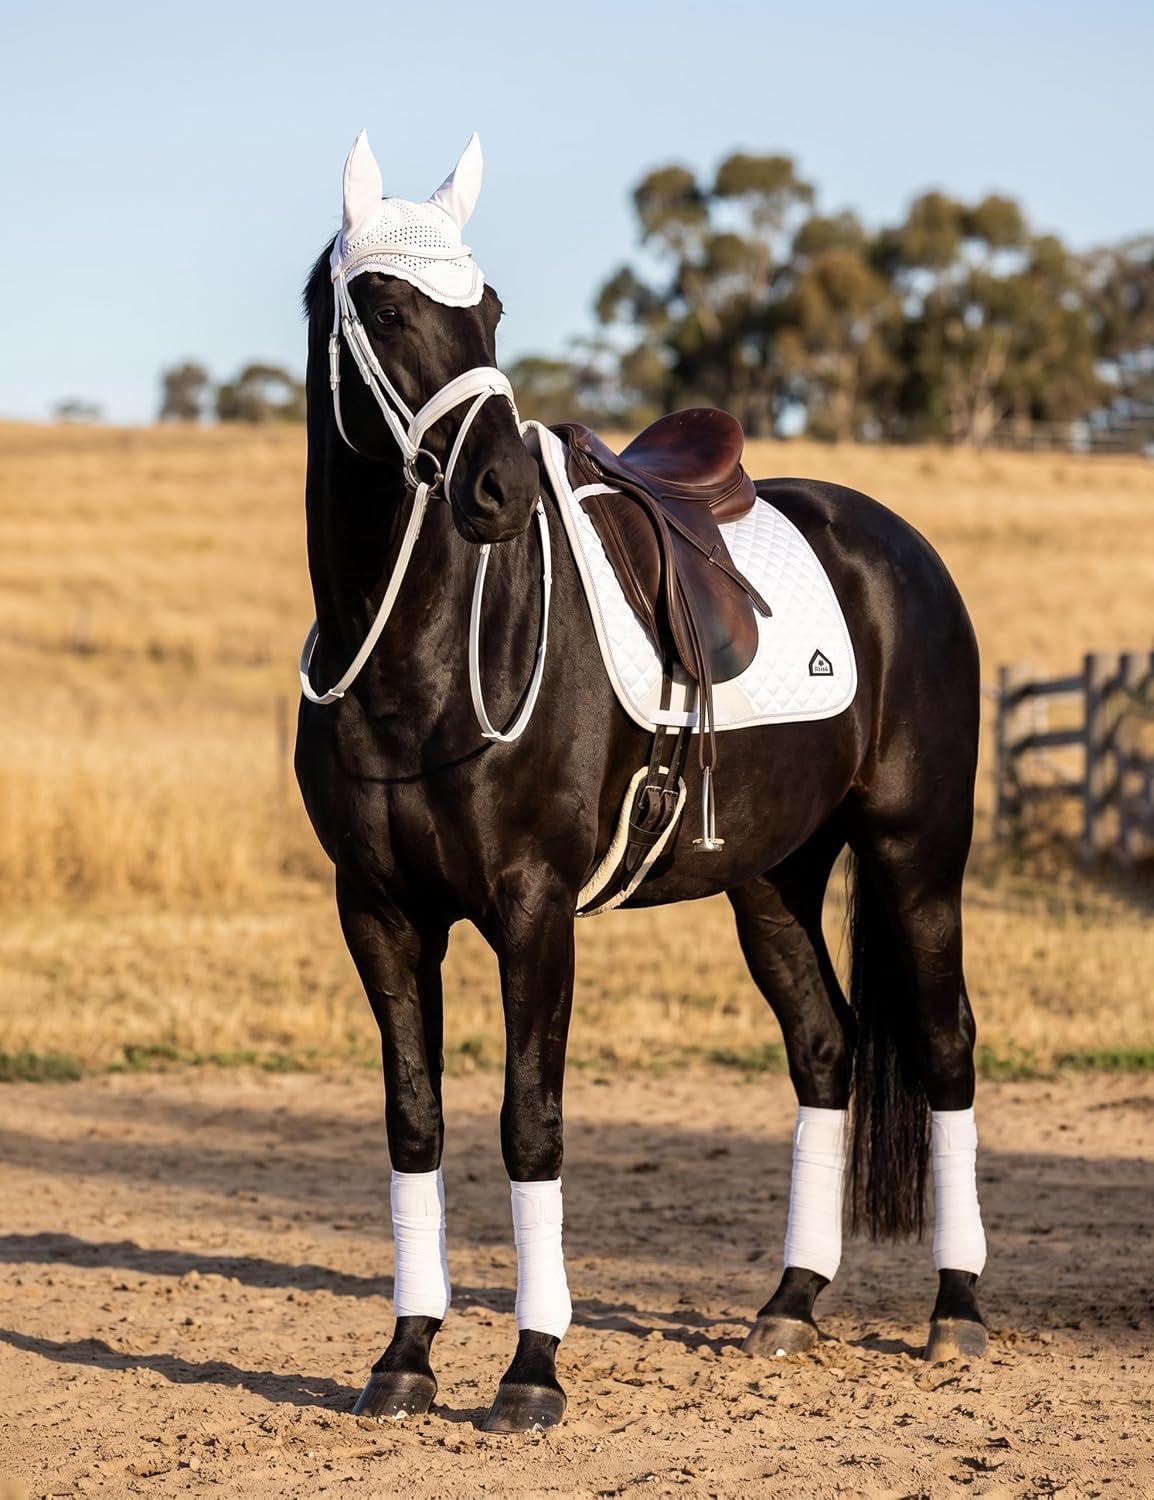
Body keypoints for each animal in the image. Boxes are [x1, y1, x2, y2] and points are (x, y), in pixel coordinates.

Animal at [294, 130, 989, 1434]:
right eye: (389, 305)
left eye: (490, 308)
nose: (499, 489)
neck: (424, 655)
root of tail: (899, 548)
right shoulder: (378, 913)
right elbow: (414, 1124)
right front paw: (406, 1356)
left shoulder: (531, 910)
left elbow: (530, 1125)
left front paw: (530, 1370)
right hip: (771, 880)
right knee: (824, 1047)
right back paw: (789, 1303)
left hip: (914, 860)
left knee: (943, 1046)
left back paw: (955, 1311)